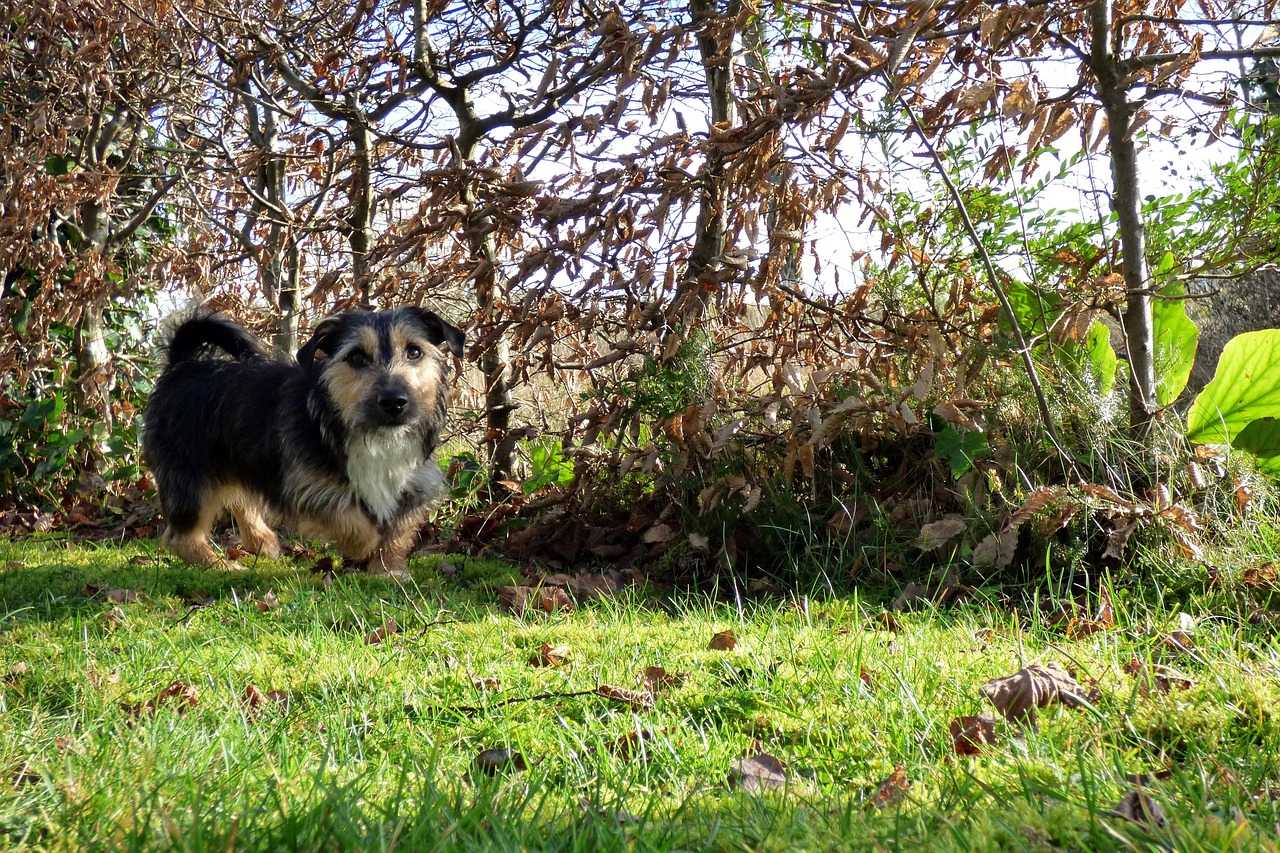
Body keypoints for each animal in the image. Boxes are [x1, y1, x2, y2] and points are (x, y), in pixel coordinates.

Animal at [142, 306, 463, 578]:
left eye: (414, 352)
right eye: (356, 357)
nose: (394, 401)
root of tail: (182, 366)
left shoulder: (414, 483)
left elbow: (398, 530)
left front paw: (388, 569)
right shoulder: (308, 486)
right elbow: (351, 520)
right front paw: (363, 549)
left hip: (239, 460)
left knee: (240, 500)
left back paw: (262, 542)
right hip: (189, 479)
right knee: (179, 538)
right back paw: (221, 565)